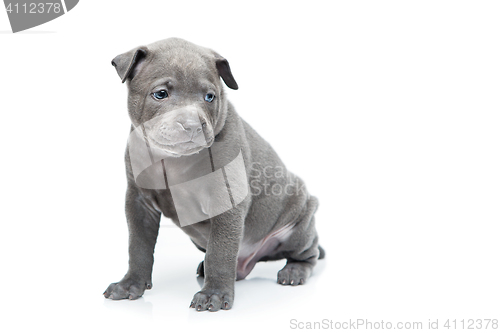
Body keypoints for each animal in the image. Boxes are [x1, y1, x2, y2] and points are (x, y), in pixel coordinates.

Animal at [104, 37, 324, 310]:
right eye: (161, 94)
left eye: (210, 97)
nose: (192, 125)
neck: (173, 161)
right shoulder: (138, 203)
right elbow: (138, 247)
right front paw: (130, 284)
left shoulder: (226, 201)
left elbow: (219, 252)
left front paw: (214, 295)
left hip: (300, 220)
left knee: (307, 253)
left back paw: (294, 270)